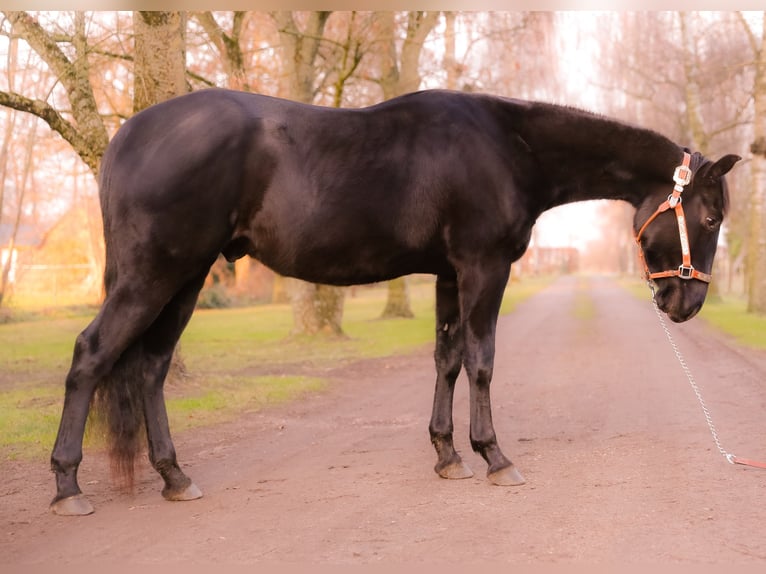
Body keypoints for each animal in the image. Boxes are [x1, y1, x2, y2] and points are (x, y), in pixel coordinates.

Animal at [49, 88, 740, 515]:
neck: (509, 146)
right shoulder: (483, 269)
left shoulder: (448, 276)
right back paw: (67, 485)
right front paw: (494, 456)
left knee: (149, 368)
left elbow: (447, 360)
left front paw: (447, 454)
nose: (686, 304)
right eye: (709, 216)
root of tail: (128, 135)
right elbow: (483, 361)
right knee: (90, 355)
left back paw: (174, 476)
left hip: (186, 279)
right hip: (154, 275)